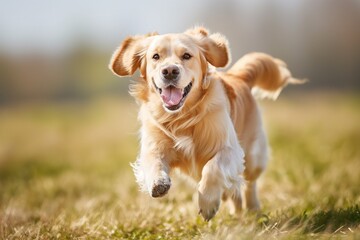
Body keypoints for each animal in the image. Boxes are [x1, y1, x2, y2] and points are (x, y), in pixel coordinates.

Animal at [108, 26, 302, 221]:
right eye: (156, 56)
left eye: (187, 55)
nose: (169, 71)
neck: (181, 117)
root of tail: (238, 77)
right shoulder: (153, 146)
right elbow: (153, 161)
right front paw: (158, 182)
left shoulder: (230, 149)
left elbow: (213, 168)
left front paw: (208, 204)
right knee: (234, 190)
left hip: (254, 156)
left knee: (249, 182)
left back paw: (252, 208)